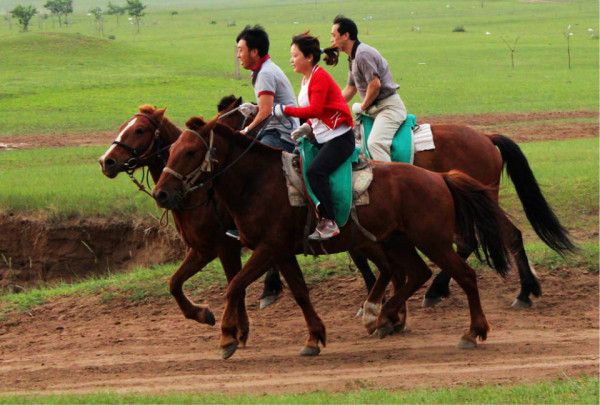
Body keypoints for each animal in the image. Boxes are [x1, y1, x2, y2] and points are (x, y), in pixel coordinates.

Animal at [152, 116, 512, 356]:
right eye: (171, 150)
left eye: (190, 152)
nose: (161, 193)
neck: (259, 182)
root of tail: (440, 178)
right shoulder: (280, 252)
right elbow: (299, 292)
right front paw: (314, 336)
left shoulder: (267, 247)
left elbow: (235, 285)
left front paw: (227, 335)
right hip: (396, 241)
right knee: (415, 273)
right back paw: (383, 318)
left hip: (432, 240)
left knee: (463, 275)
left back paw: (472, 331)